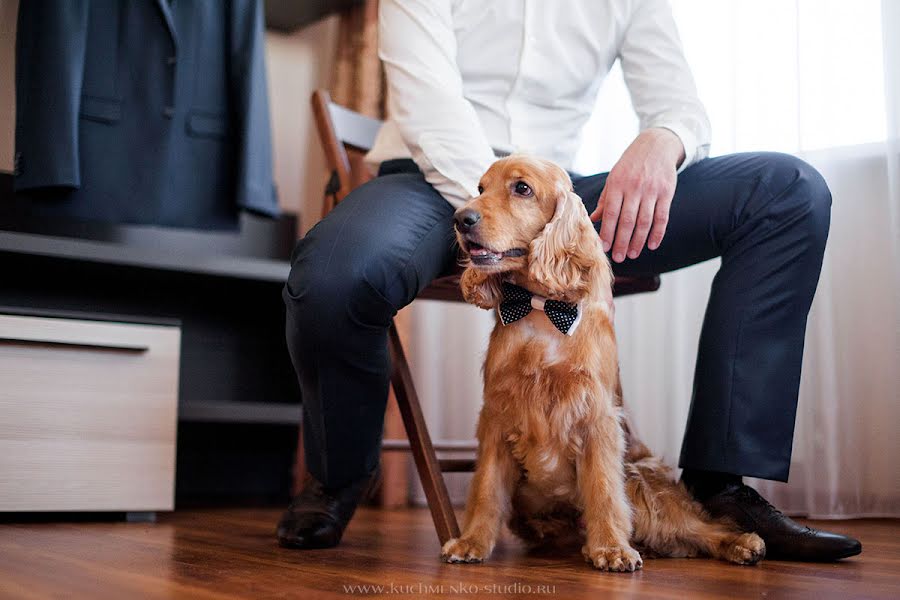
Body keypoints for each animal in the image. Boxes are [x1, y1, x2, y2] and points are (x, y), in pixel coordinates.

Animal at [440, 155, 764, 572]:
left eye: (522, 188)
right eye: (480, 188)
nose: (460, 218)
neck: (541, 310)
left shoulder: (596, 416)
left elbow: (603, 489)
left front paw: (611, 548)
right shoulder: (497, 413)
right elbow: (486, 487)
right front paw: (471, 542)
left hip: (642, 484)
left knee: (701, 527)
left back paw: (743, 544)